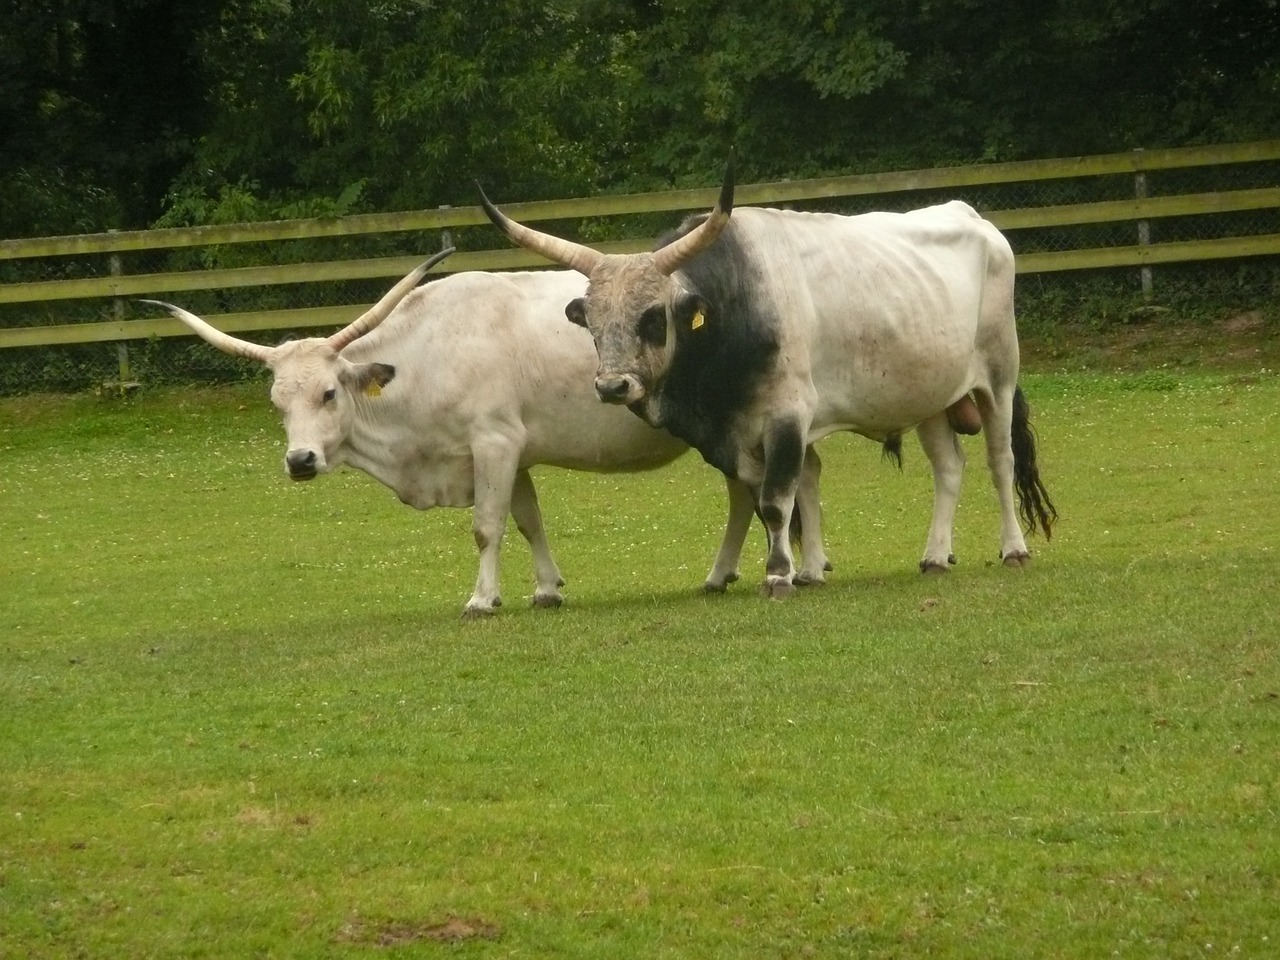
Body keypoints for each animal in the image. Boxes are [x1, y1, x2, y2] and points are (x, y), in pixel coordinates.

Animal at [145, 249, 834, 616]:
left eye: (329, 392)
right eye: (276, 403)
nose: (300, 460)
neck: (425, 357)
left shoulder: (493, 443)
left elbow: (487, 525)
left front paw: (482, 599)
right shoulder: (513, 453)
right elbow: (528, 519)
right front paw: (547, 588)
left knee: (785, 482)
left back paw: (801, 567)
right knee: (758, 489)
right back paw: (731, 573)